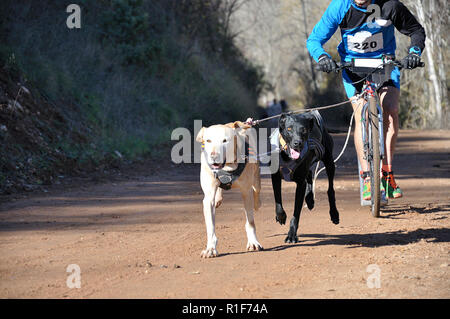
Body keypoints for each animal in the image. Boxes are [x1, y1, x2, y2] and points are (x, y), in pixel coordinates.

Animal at [195, 121, 262, 258]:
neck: (227, 167)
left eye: (225, 140)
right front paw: (210, 248)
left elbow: (250, 222)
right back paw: (218, 198)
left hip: (256, 180)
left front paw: (253, 242)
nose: (214, 156)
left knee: (257, 192)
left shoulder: (246, 192)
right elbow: (210, 226)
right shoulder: (208, 197)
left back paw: (257, 203)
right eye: (208, 140)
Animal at [268, 111, 340, 244]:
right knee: (310, 173)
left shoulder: (300, 184)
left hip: (329, 161)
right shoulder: (275, 177)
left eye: (304, 130)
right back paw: (310, 199)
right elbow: (277, 199)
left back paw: (334, 213)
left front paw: (291, 235)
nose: (298, 143)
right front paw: (281, 216)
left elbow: (296, 213)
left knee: (330, 189)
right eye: (289, 129)